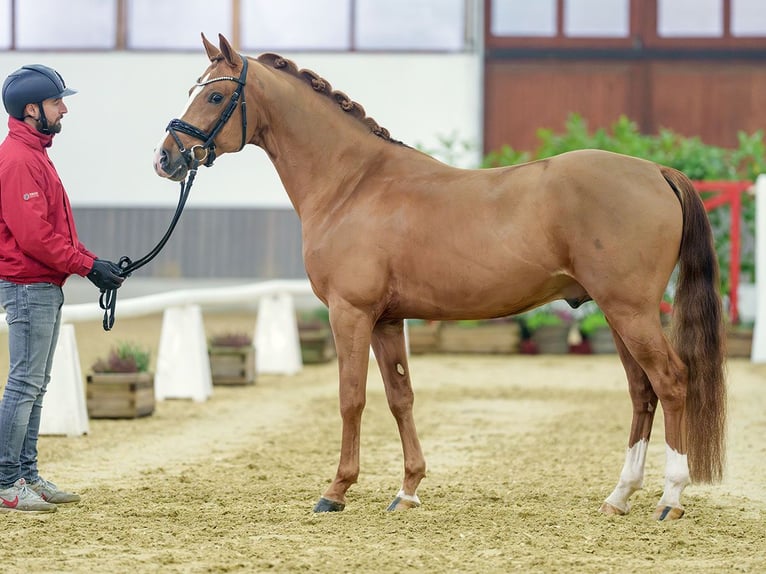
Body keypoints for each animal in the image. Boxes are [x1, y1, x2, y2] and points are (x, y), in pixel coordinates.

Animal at [154, 35, 728, 520]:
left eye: (216, 95)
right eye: (193, 89)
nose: (166, 159)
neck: (353, 183)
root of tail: (655, 172)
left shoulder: (350, 313)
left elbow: (351, 397)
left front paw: (336, 491)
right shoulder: (387, 320)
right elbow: (400, 397)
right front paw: (407, 491)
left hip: (630, 311)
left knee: (671, 381)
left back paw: (671, 498)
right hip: (615, 312)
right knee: (642, 391)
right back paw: (619, 496)